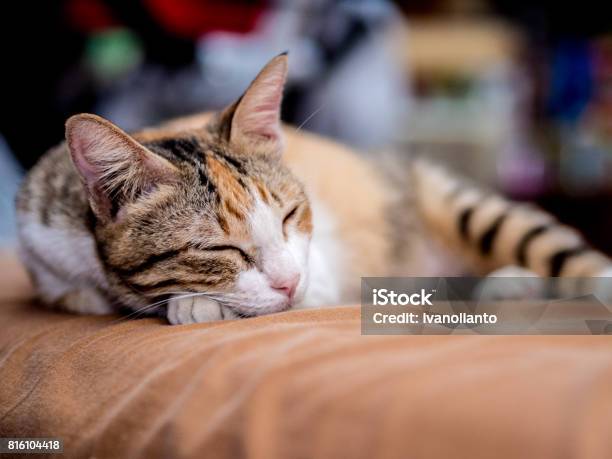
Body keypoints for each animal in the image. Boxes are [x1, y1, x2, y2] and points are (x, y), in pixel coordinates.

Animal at [14, 54, 612, 324]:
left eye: (289, 215)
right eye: (216, 248)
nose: (288, 282)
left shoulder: (318, 269)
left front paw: (194, 306)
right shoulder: (44, 245)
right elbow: (76, 295)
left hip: (458, 206)